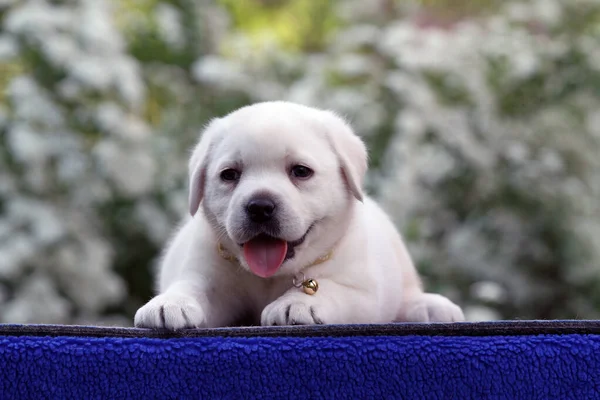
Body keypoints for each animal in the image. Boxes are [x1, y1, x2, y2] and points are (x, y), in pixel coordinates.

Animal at [136, 100, 464, 328]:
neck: (269, 278)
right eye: (229, 175)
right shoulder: (208, 277)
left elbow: (328, 287)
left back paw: (430, 306)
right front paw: (170, 303)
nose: (260, 206)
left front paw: (295, 304)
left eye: (301, 171)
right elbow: (192, 286)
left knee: (408, 293)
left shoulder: (364, 292)